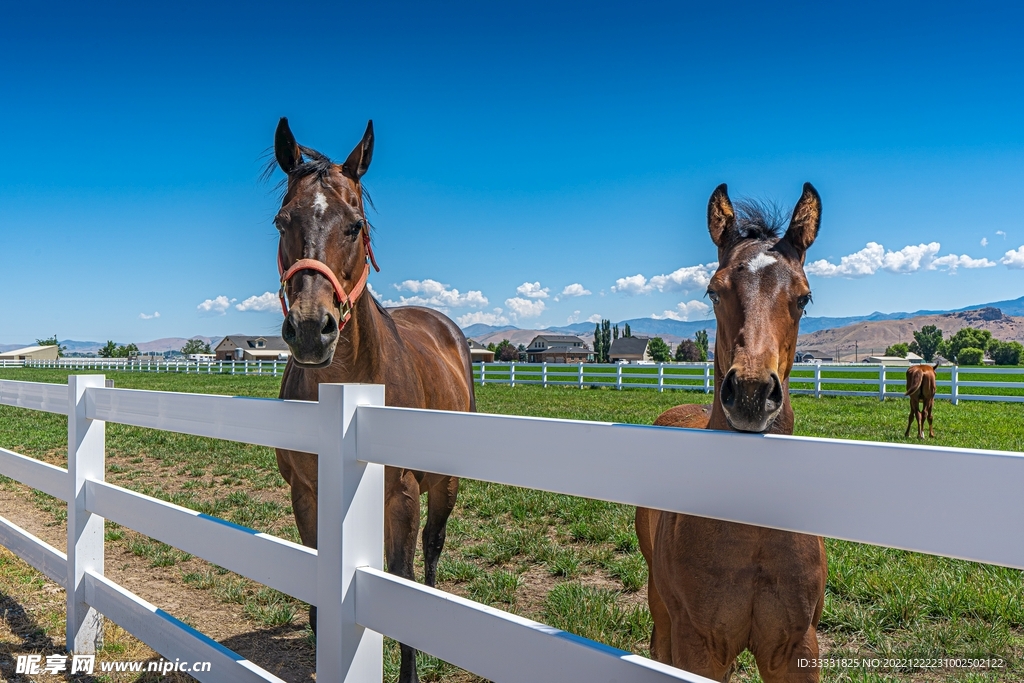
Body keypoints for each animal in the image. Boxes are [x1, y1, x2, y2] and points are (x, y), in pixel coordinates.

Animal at [269, 118, 475, 683]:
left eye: (355, 225)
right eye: (282, 221)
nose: (311, 329)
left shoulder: (401, 496)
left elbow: (401, 583)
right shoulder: (307, 493)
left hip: (442, 485)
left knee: (430, 553)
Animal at [636, 183, 828, 682]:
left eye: (804, 298)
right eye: (713, 291)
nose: (751, 392)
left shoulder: (796, 648)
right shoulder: (699, 646)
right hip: (660, 603)